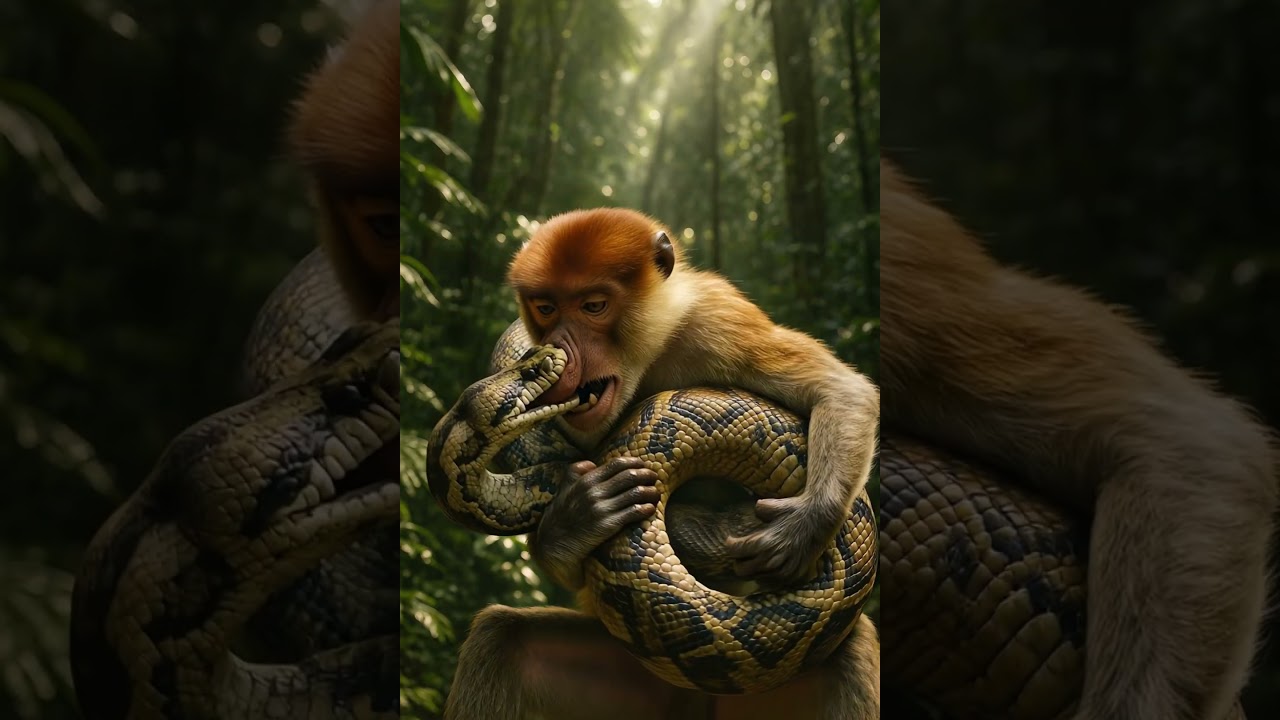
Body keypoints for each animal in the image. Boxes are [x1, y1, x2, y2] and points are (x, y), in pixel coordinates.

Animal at [440, 207, 881, 720]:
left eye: (594, 306)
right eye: (546, 308)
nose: (554, 349)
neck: (645, 363)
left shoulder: (721, 324)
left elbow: (843, 390)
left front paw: (801, 529)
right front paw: (574, 518)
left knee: (852, 650)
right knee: (501, 637)